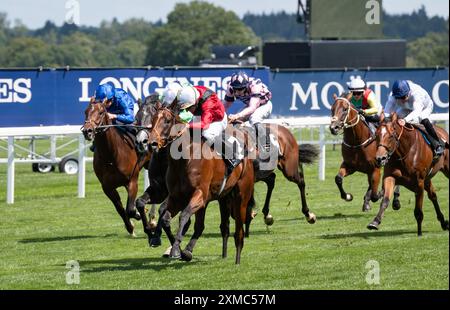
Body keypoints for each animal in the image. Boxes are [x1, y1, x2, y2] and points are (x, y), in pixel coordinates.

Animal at [81, 98, 151, 236]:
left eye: (101, 112)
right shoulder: (107, 187)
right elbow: (120, 209)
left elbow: (130, 209)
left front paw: (138, 215)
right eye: (86, 111)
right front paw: (130, 227)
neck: (111, 156)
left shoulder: (132, 181)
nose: (87, 131)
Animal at [146, 104, 255, 264]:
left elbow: (184, 215)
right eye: (153, 119)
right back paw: (194, 252)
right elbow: (166, 217)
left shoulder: (200, 194)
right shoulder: (177, 197)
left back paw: (237, 259)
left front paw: (176, 250)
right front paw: (178, 249)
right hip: (222, 197)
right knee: (211, 226)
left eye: (167, 121)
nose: (152, 143)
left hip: (241, 196)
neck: (184, 159)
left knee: (239, 230)